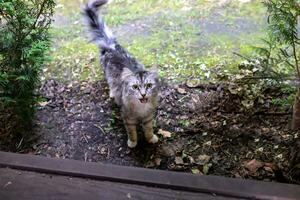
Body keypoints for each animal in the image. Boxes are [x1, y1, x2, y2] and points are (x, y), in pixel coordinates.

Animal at [83, 0, 159, 147]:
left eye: (148, 86)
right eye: (135, 87)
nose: (143, 94)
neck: (141, 109)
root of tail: (111, 45)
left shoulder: (148, 117)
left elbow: (148, 130)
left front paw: (151, 139)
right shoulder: (127, 118)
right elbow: (132, 133)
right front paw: (132, 143)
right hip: (108, 74)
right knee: (110, 85)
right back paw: (112, 94)